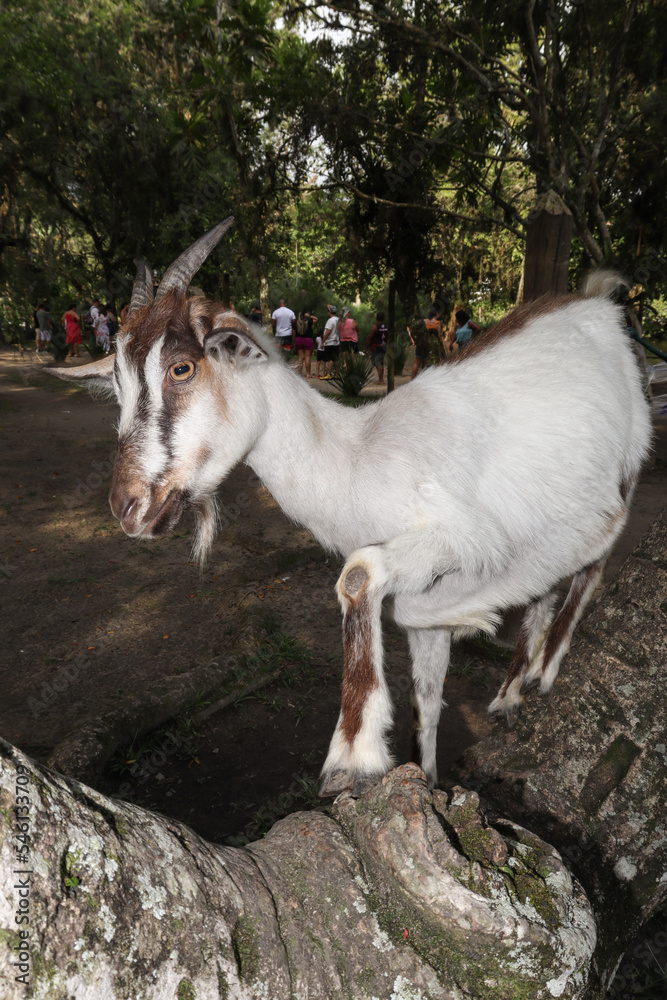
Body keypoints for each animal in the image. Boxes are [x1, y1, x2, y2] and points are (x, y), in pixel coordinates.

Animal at [52, 219, 652, 797]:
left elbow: (362, 577)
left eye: (181, 368)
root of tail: (599, 304)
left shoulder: (467, 536)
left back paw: (542, 671)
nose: (127, 506)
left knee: (599, 547)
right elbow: (426, 693)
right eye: (117, 383)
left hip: (627, 464)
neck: (359, 458)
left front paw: (353, 754)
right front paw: (424, 774)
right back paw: (511, 690)